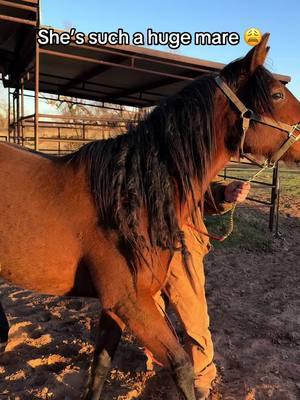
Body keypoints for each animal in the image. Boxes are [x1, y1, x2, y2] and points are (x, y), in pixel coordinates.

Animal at [0, 32, 298, 398]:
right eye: (277, 94)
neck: (129, 195)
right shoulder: (129, 302)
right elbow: (181, 365)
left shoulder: (116, 307)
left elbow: (100, 369)